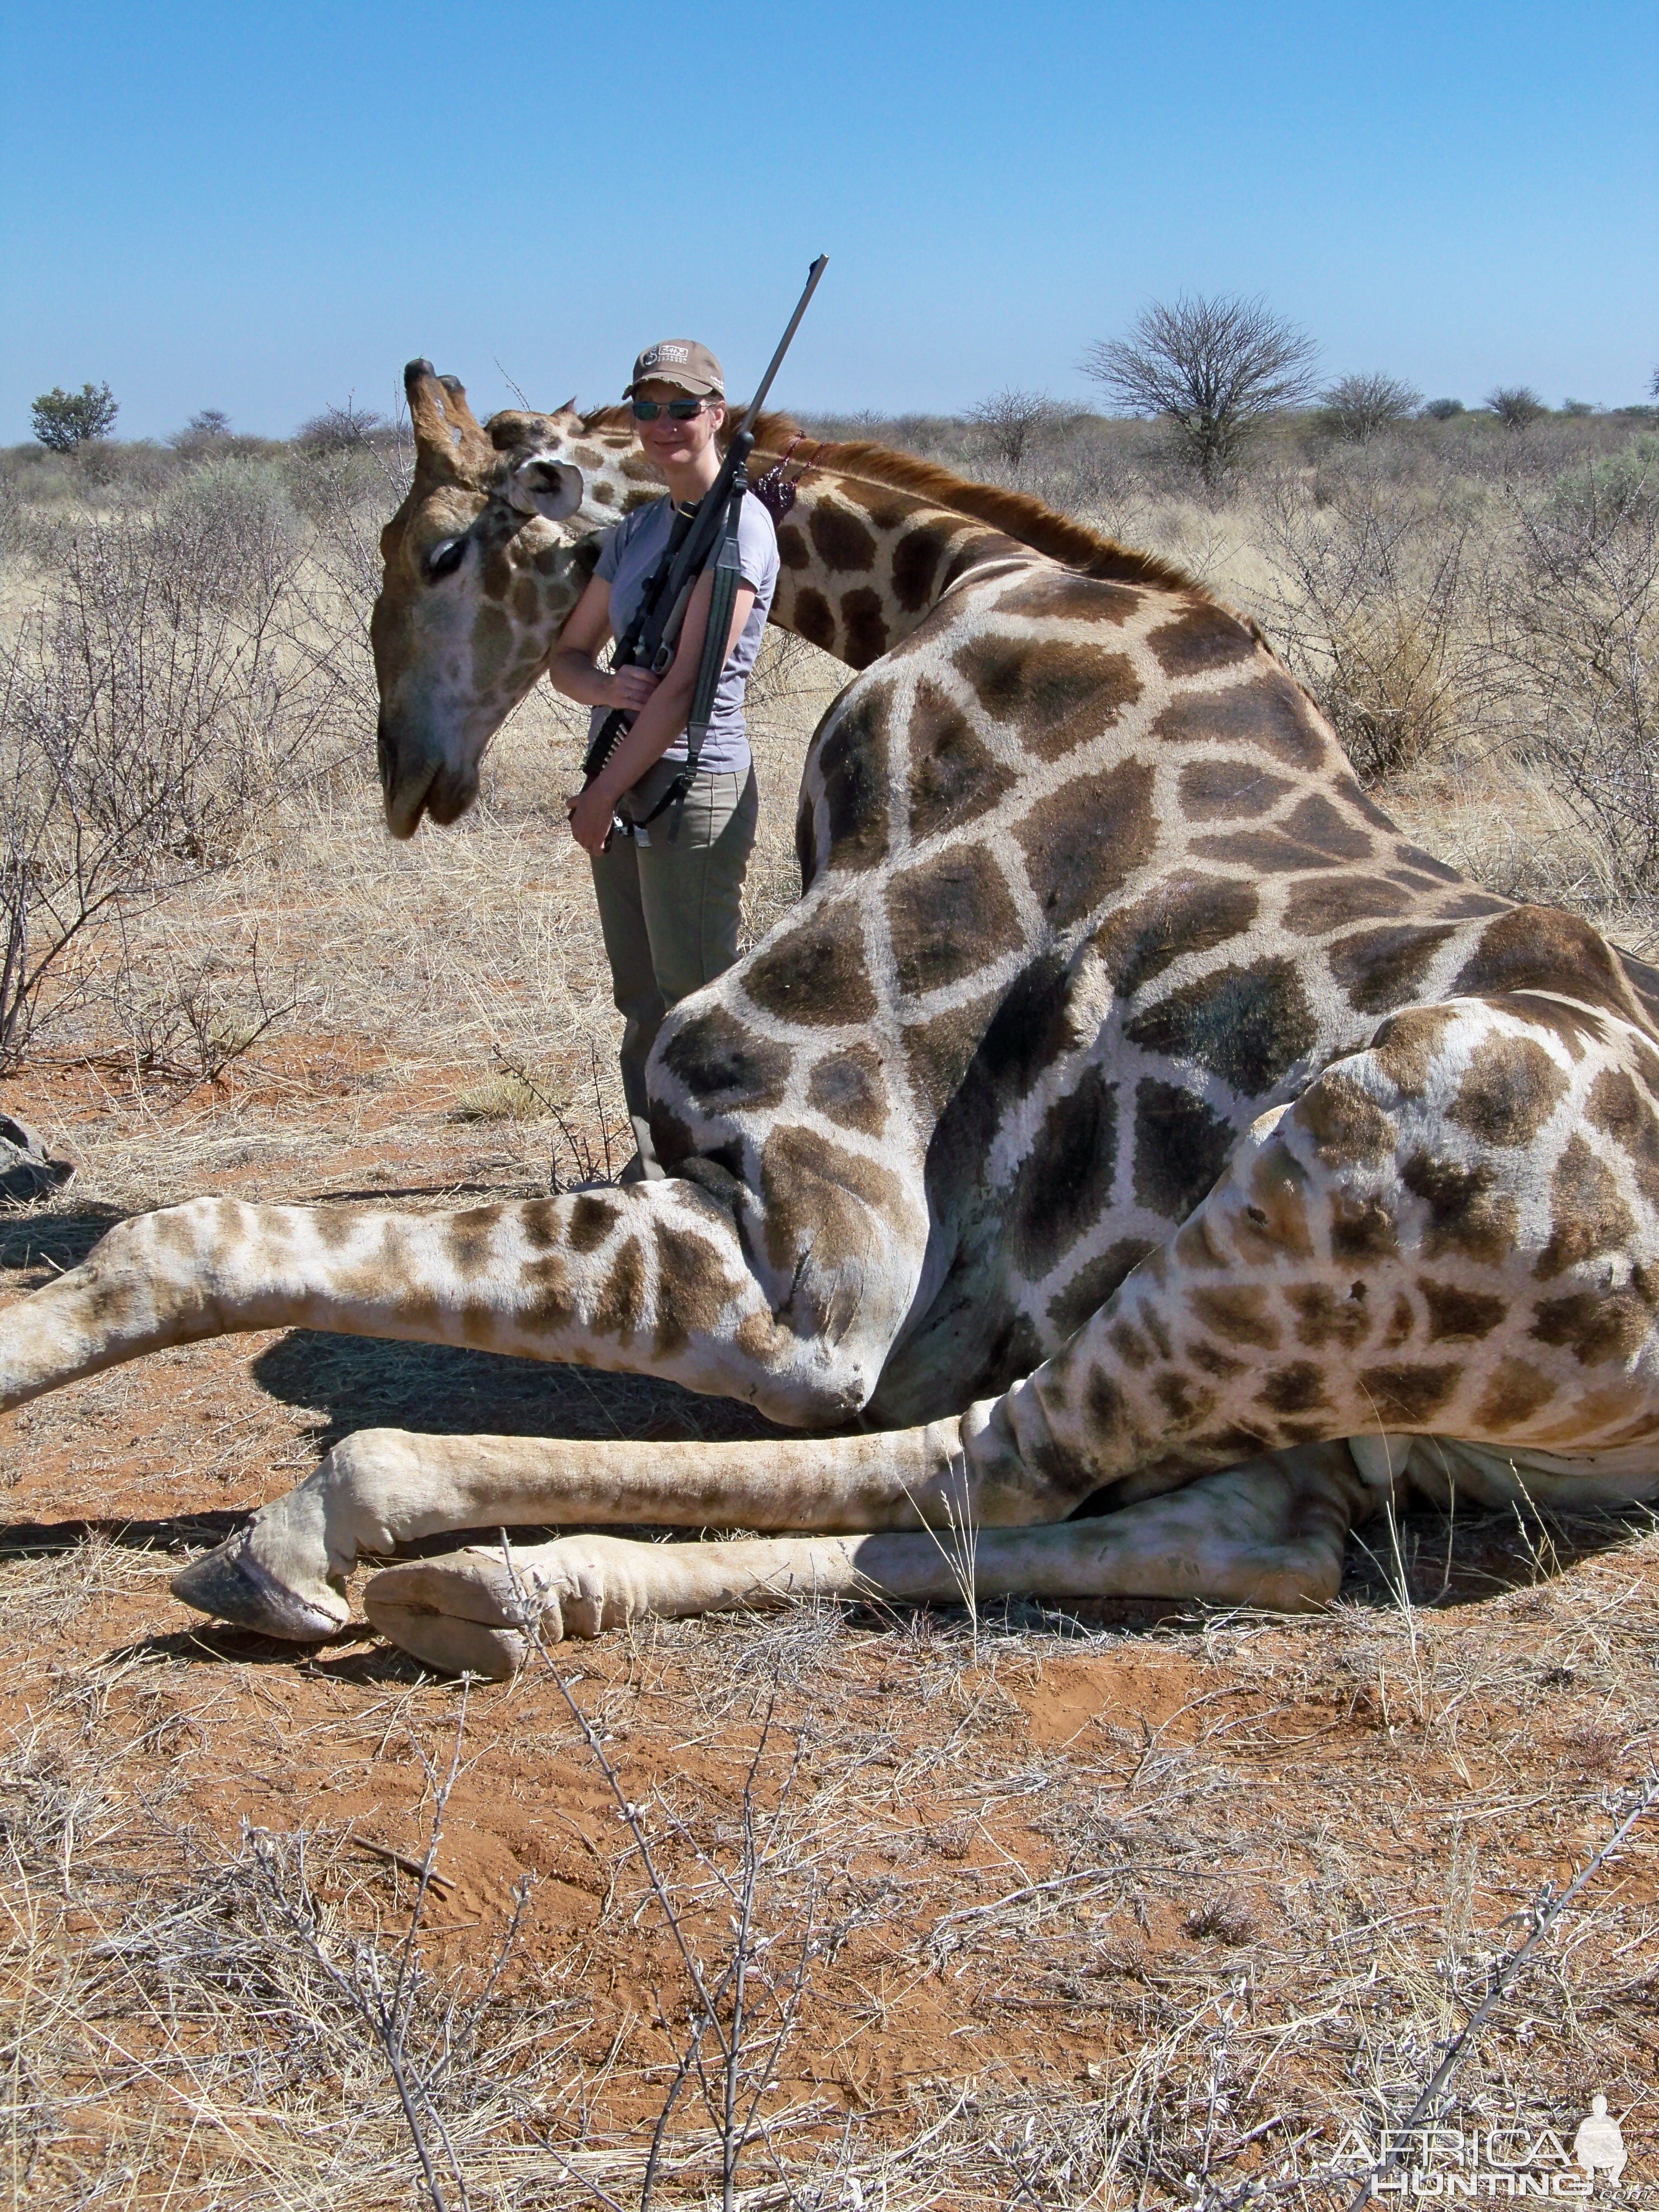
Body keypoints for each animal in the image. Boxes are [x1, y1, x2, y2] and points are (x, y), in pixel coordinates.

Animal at [3, 358, 1659, 1672]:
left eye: (444, 544)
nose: (407, 771)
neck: (951, 586)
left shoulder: (820, 1224)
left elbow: (187, 1239)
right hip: (1350, 1393)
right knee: (1261, 1534)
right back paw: (495, 1593)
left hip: (1342, 1157)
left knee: (1003, 1461)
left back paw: (346, 1530)